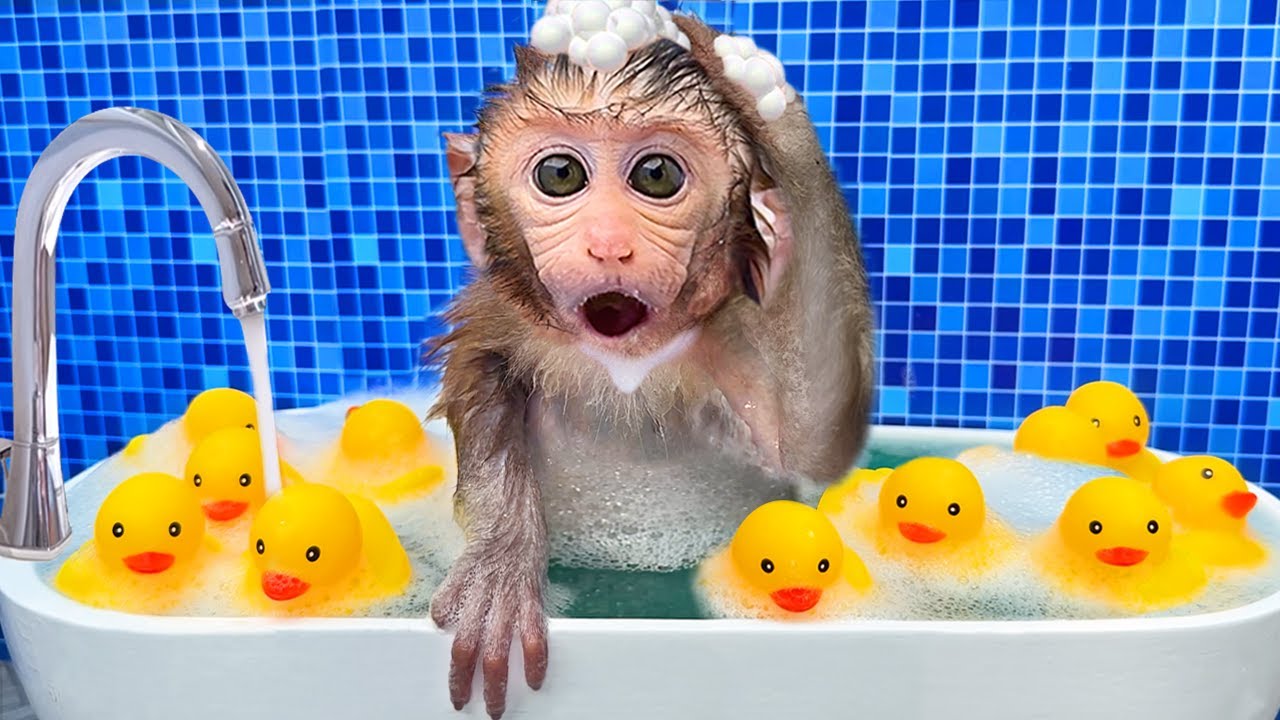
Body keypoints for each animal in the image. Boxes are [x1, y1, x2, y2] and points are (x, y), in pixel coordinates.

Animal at [424, 12, 875, 719]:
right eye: (560, 175)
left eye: (656, 175)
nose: (610, 244)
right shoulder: (500, 326)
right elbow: (486, 381)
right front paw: (500, 562)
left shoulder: (731, 342)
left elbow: (812, 441)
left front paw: (768, 110)